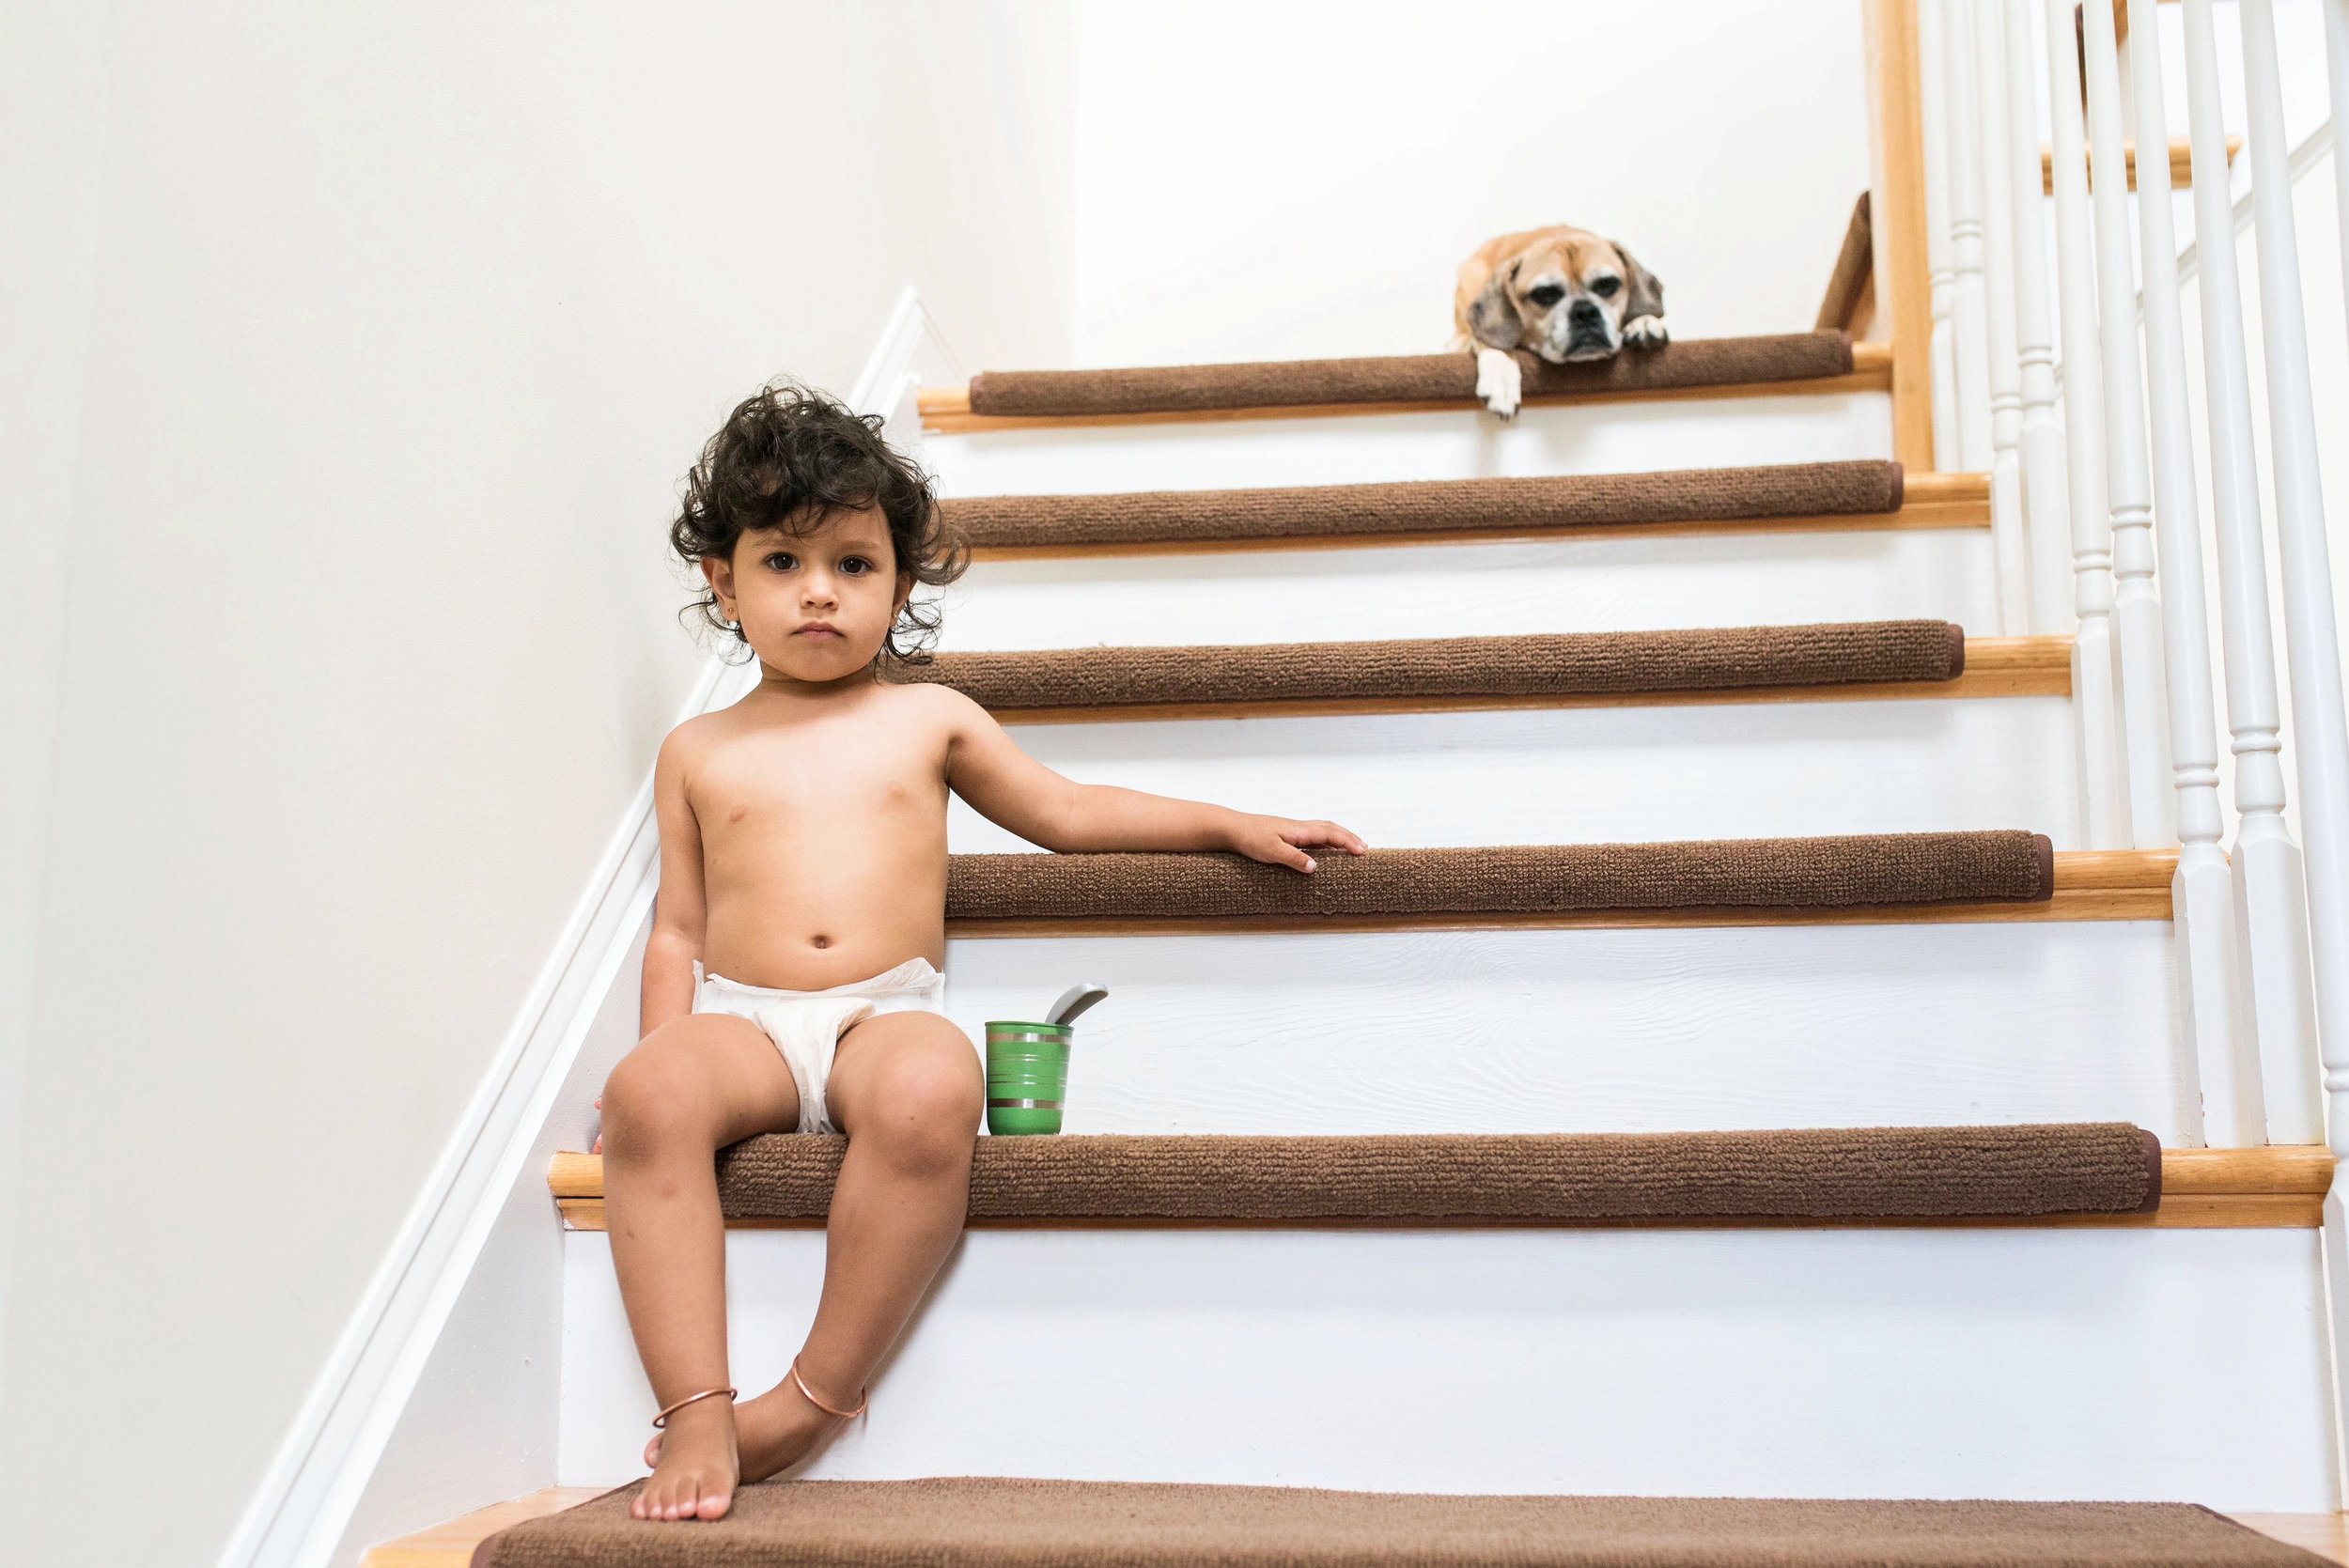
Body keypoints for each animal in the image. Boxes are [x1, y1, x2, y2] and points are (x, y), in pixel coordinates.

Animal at [1447, 223, 1672, 415]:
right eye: (1545, 293)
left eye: (1607, 284)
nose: (1585, 312)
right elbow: (1492, 342)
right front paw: (1501, 379)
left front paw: (1644, 321)